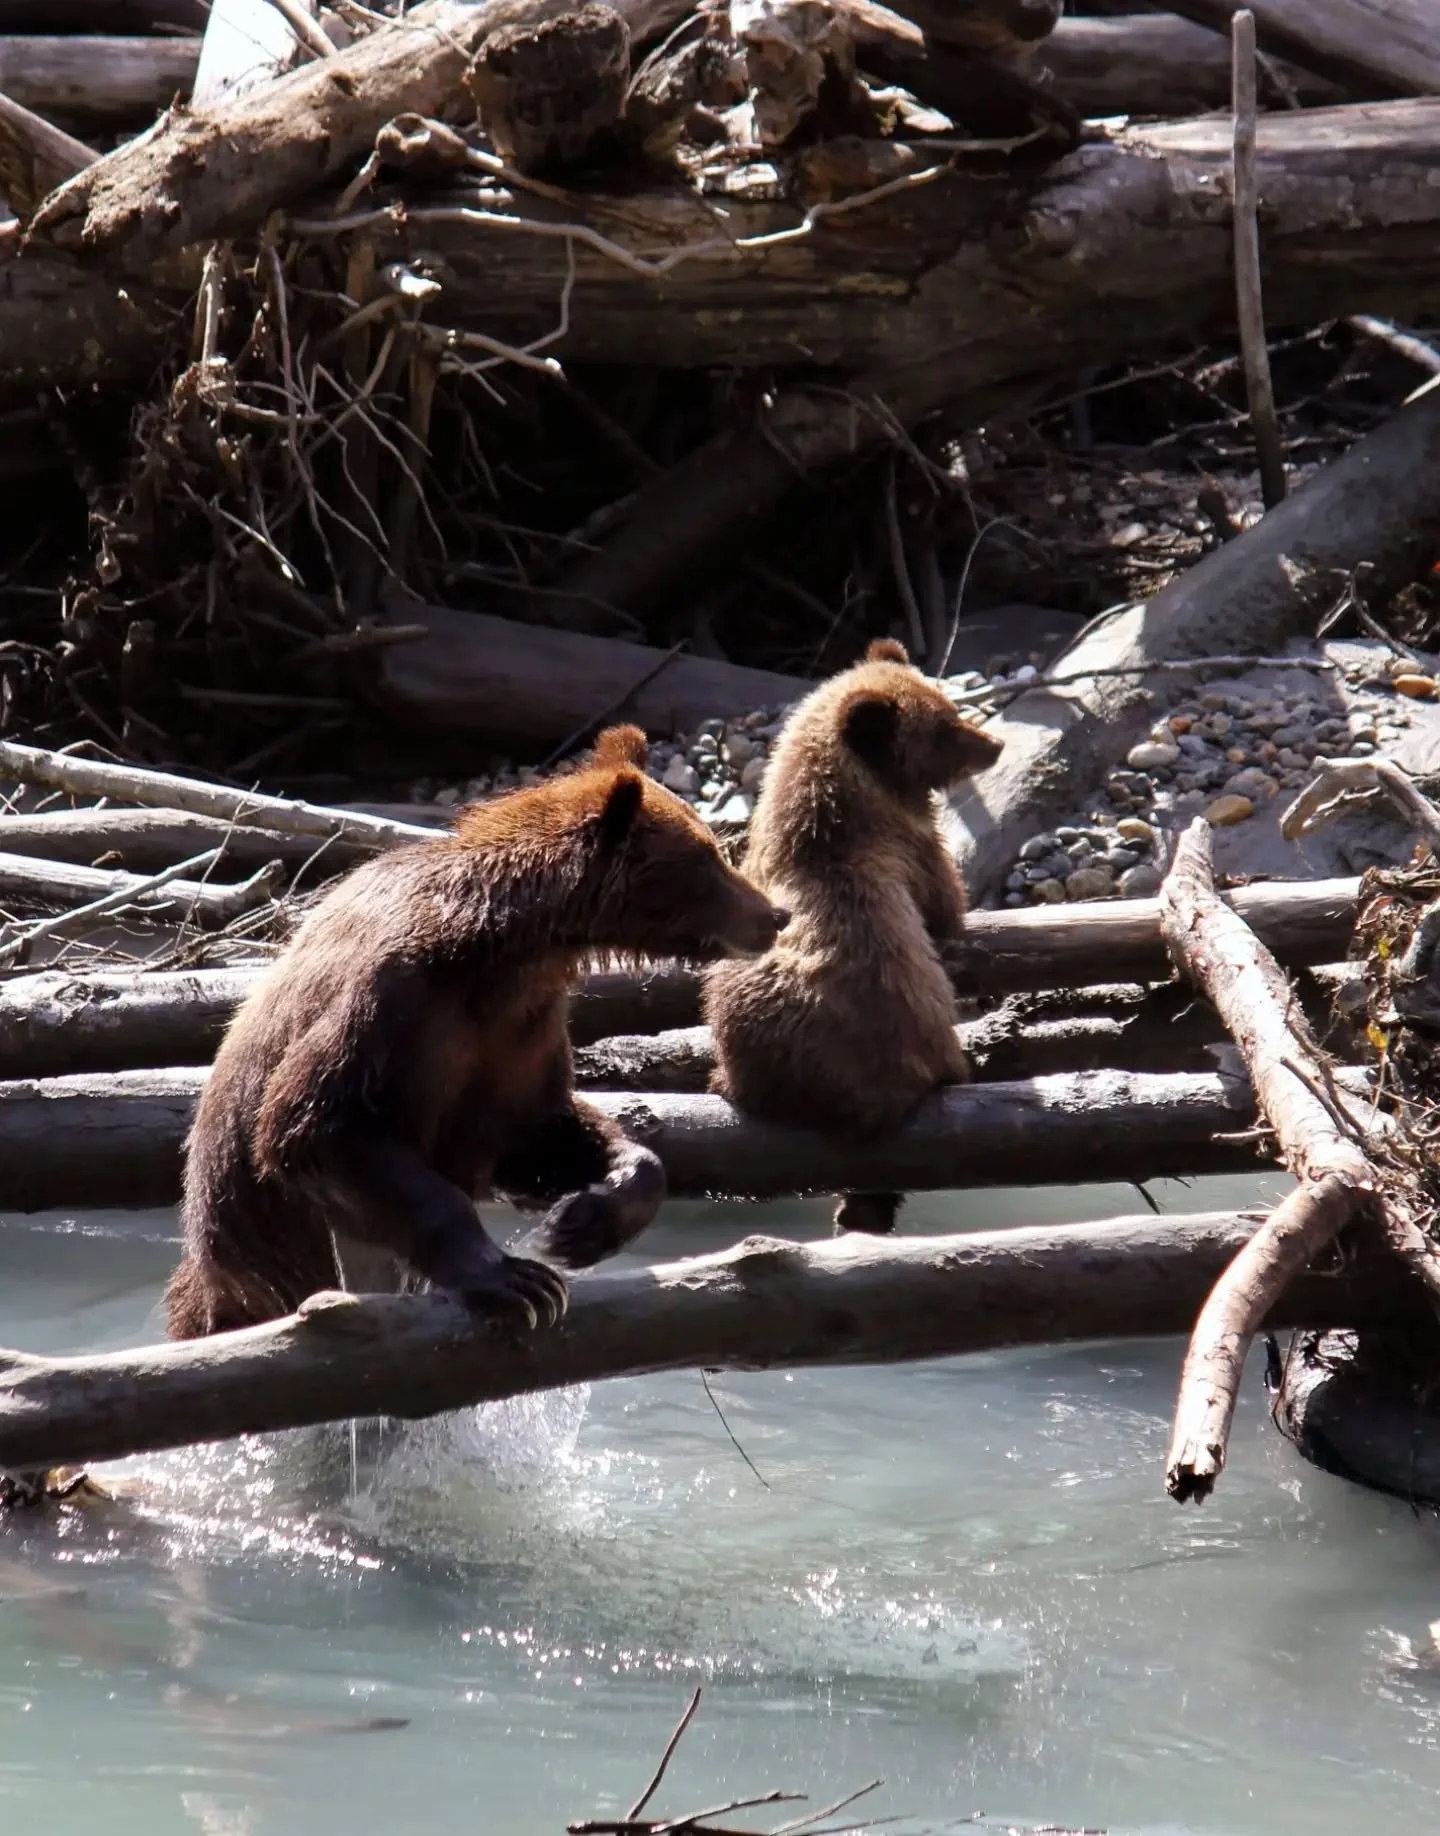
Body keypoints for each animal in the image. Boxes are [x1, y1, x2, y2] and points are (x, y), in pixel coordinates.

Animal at [164, 724, 789, 1341]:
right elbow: (317, 1124)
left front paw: (584, 1220)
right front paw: (511, 1278)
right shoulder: (394, 1006)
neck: (506, 948)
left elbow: (540, 1128)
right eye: (707, 855)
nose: (774, 915)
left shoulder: (523, 1032)